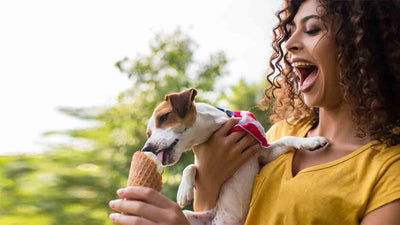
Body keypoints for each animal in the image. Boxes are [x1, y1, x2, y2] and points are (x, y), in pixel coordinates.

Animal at [142, 89, 326, 224]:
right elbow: (190, 167)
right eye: (148, 134)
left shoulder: (264, 153)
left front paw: (313, 141)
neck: (216, 127)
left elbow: (288, 139)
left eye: (164, 117)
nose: (146, 148)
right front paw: (184, 191)